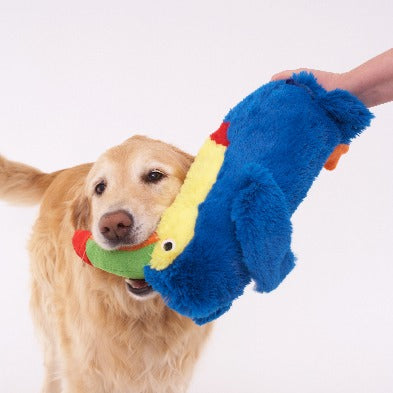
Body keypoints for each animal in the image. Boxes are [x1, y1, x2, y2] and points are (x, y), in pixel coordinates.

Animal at [0, 136, 211, 392]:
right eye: (100, 188)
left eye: (154, 175)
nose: (113, 225)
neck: (140, 313)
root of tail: (61, 173)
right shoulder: (84, 370)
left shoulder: (173, 376)